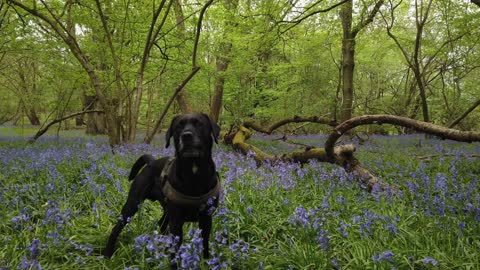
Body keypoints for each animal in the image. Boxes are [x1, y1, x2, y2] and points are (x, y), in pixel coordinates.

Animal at [103, 112, 221, 266]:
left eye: (199, 124)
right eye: (178, 126)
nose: (186, 136)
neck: (194, 172)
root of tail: (152, 162)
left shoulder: (206, 219)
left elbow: (205, 246)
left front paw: (207, 263)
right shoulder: (176, 222)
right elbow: (175, 253)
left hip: (166, 211)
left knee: (161, 225)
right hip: (132, 205)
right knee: (116, 228)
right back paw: (107, 254)